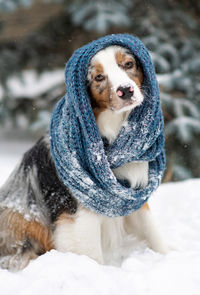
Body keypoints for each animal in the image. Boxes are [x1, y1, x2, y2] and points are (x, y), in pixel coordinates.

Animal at [0, 45, 167, 272]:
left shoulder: (133, 196)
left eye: (128, 64)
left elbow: (153, 233)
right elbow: (92, 255)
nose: (125, 90)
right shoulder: (78, 215)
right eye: (98, 77)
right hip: (20, 217)